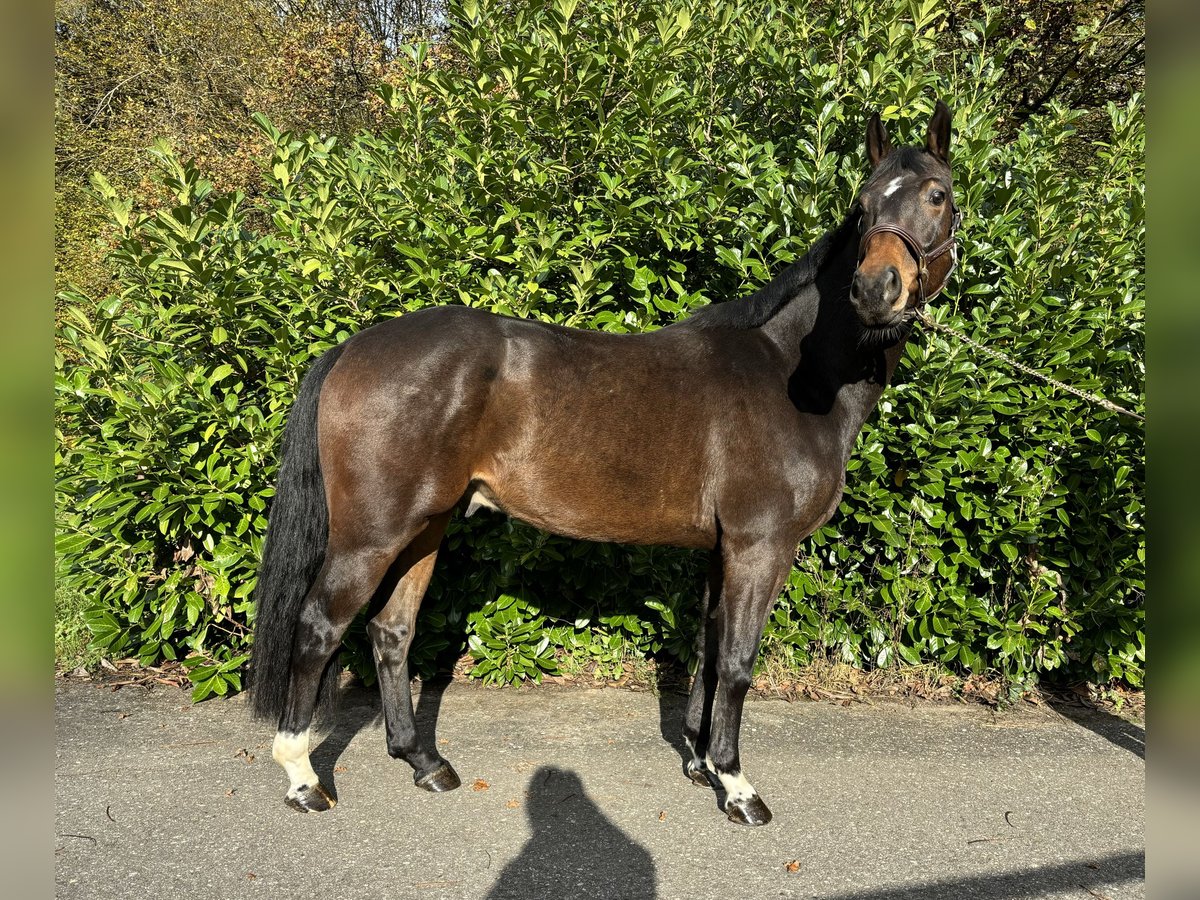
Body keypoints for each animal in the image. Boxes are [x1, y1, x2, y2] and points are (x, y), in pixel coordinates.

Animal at [248, 102, 960, 830]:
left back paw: (425, 763)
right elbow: (737, 663)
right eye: (864, 206)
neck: (792, 373)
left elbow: (707, 652)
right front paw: (736, 786)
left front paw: (699, 760)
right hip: (373, 535)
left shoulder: (723, 549)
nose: (876, 289)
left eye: (937, 196)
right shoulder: (761, 546)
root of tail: (353, 348)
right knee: (318, 627)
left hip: (425, 526)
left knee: (391, 631)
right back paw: (303, 778)